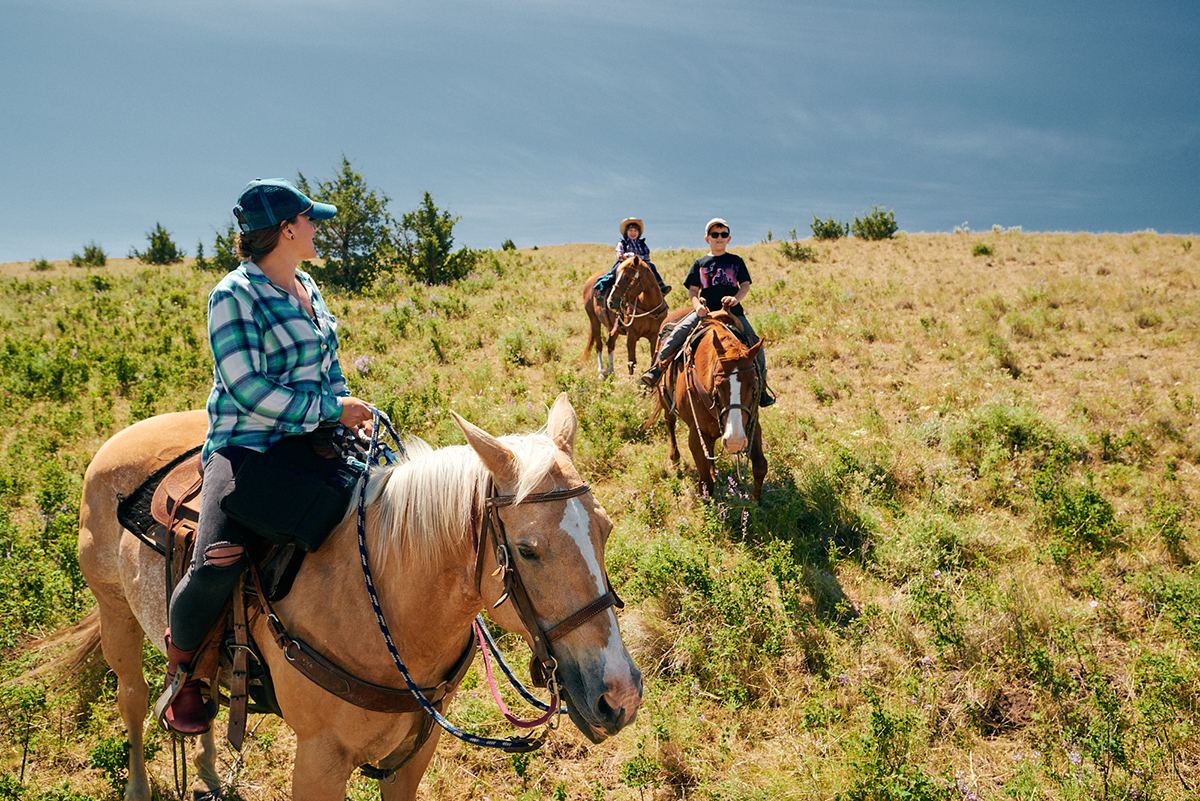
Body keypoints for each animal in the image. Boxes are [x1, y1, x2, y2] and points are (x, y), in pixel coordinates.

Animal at [76, 395, 643, 801]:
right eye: (527, 550)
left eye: (606, 529)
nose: (621, 695)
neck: (384, 606)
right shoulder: (319, 763)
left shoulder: (414, 753)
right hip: (116, 612)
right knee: (133, 697)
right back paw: (138, 787)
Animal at [648, 309, 768, 496]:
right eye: (717, 387)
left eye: (754, 385)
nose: (734, 441)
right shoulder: (696, 436)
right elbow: (705, 484)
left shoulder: (751, 424)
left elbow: (760, 467)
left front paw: (756, 502)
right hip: (665, 401)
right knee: (670, 423)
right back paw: (675, 461)